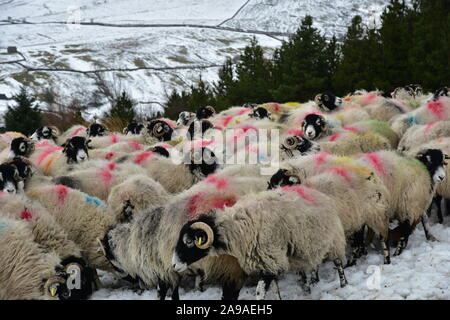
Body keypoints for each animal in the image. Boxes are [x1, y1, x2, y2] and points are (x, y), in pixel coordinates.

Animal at [171, 188, 346, 300]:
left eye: (188, 241)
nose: (173, 265)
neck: (238, 228)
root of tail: (320, 194)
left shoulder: (271, 258)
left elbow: (259, 292)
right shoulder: (269, 262)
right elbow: (274, 288)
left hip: (334, 240)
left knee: (338, 263)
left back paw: (344, 284)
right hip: (307, 247)